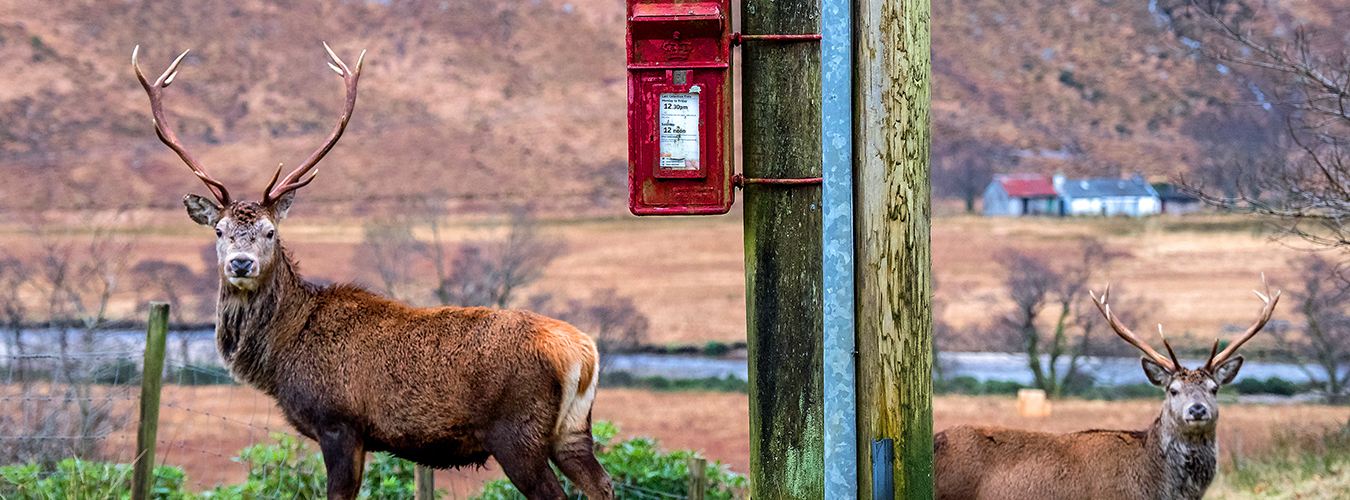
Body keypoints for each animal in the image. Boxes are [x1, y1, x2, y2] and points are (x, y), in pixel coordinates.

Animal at [128, 45, 615, 500]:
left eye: (270, 231)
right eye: (219, 230)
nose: (240, 263)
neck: (282, 353)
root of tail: (584, 352)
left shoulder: (339, 422)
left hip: (517, 431)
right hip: (572, 430)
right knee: (603, 483)